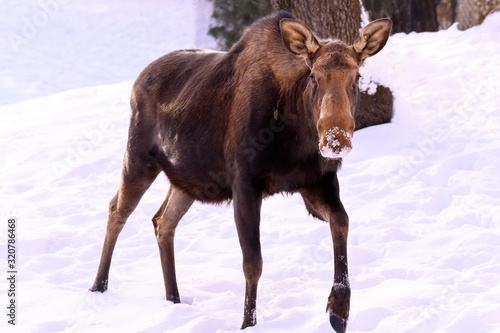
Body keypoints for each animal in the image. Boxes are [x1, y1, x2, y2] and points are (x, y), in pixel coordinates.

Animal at [92, 11, 392, 332]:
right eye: (313, 76)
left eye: (357, 77)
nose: (336, 139)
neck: (296, 139)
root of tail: (138, 79)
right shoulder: (245, 183)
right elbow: (253, 263)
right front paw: (248, 323)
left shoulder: (317, 182)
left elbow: (342, 221)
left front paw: (339, 309)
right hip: (138, 157)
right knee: (117, 210)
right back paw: (99, 286)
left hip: (187, 181)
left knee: (163, 221)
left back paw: (174, 299)